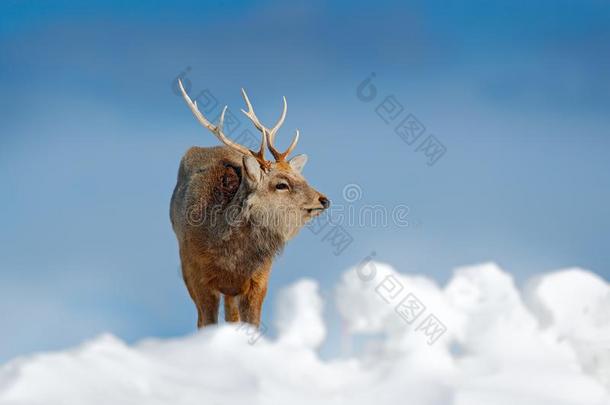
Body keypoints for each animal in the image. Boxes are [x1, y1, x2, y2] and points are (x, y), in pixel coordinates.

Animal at [169, 79, 330, 328]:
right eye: (281, 184)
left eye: (301, 177)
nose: (323, 199)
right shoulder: (195, 274)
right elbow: (206, 323)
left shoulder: (259, 279)